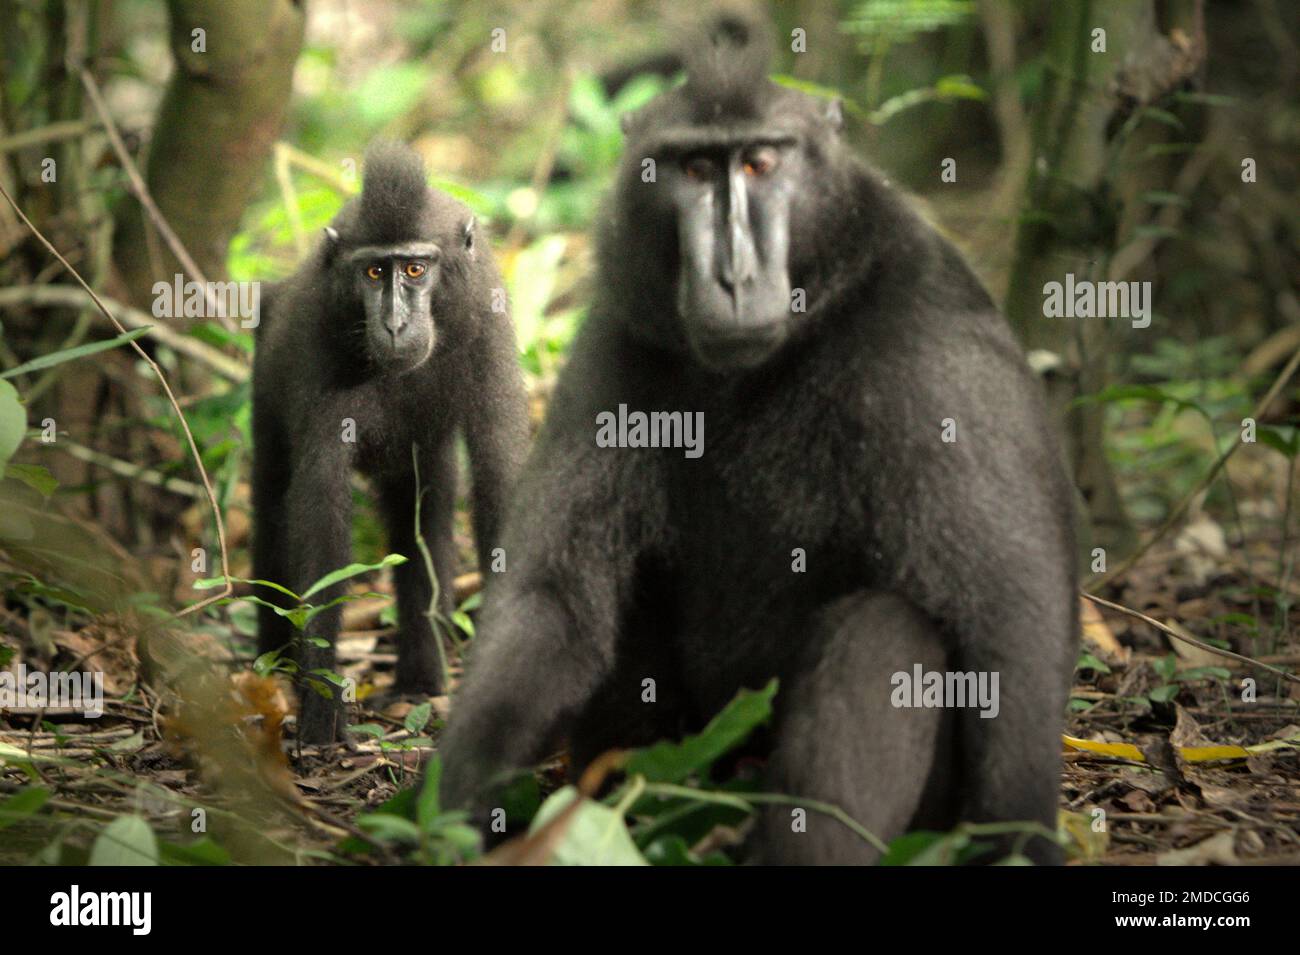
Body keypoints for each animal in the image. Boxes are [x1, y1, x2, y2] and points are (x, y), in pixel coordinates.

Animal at [252, 142, 528, 744]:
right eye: (376, 270)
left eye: (416, 269)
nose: (396, 323)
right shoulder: (317, 338)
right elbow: (320, 507)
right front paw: (321, 703)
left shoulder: (488, 323)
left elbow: (498, 472)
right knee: (271, 505)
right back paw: (273, 667)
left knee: (422, 514)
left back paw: (421, 679)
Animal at [437, 13, 1077, 864]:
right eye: (695, 167)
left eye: (762, 162)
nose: (734, 275)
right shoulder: (622, 343)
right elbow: (554, 599)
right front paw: (444, 812)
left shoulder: (930, 343)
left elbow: (1011, 627)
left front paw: (1019, 841)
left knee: (882, 633)